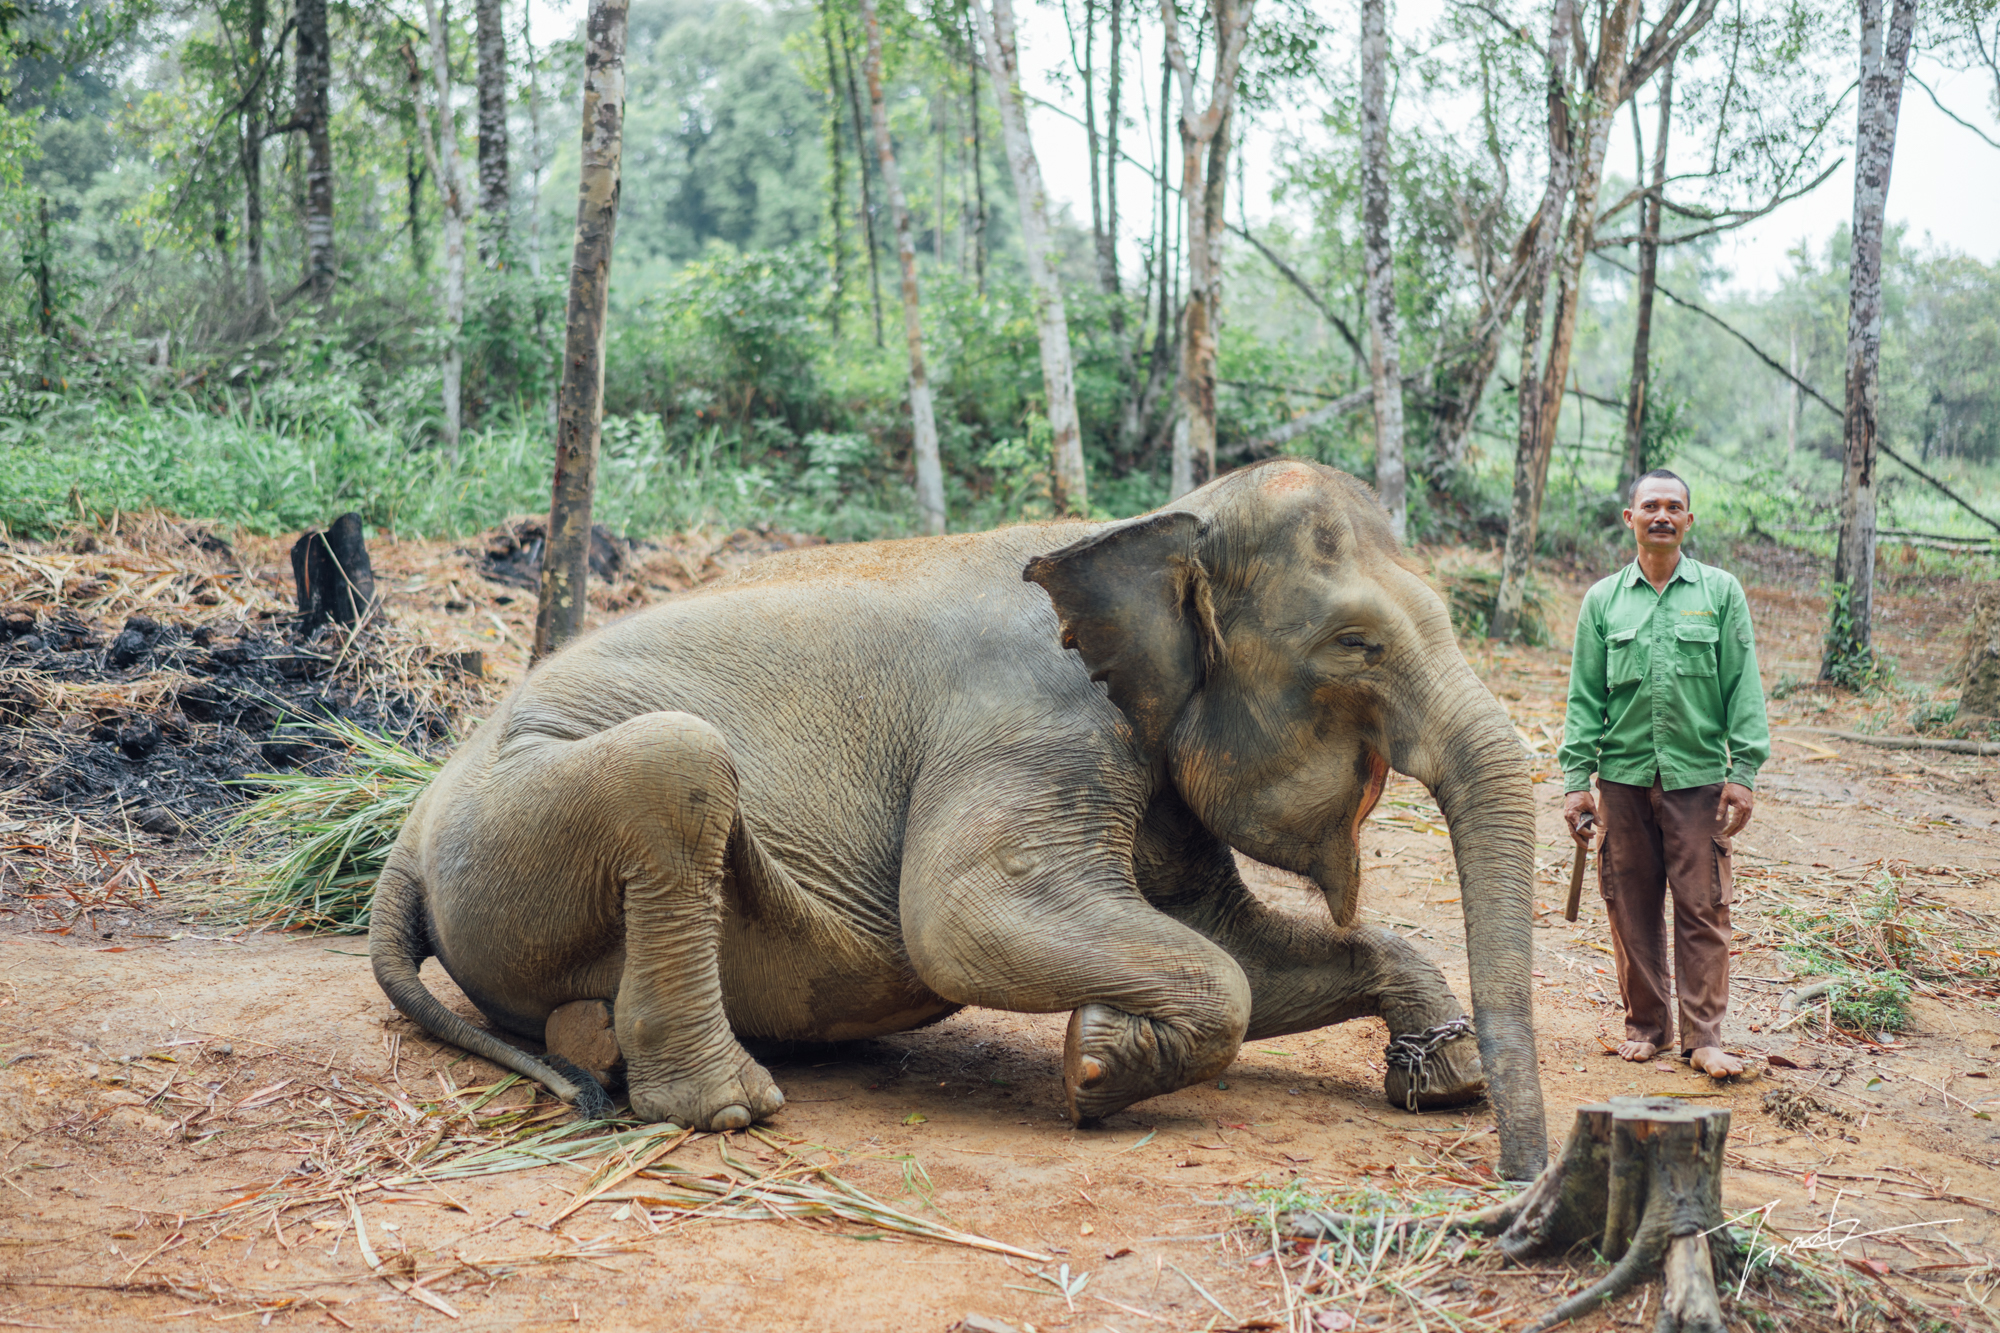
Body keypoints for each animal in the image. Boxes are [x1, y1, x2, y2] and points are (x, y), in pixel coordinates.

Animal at [378, 456, 1560, 1176]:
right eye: (1356, 646)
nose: (1518, 1176)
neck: (1150, 524)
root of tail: (409, 829)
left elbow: (1235, 945)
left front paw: (1439, 1078)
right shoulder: (1041, 722)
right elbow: (961, 916)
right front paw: (1096, 1064)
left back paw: (592, 1040)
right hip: (511, 836)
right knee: (678, 763)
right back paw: (725, 1104)